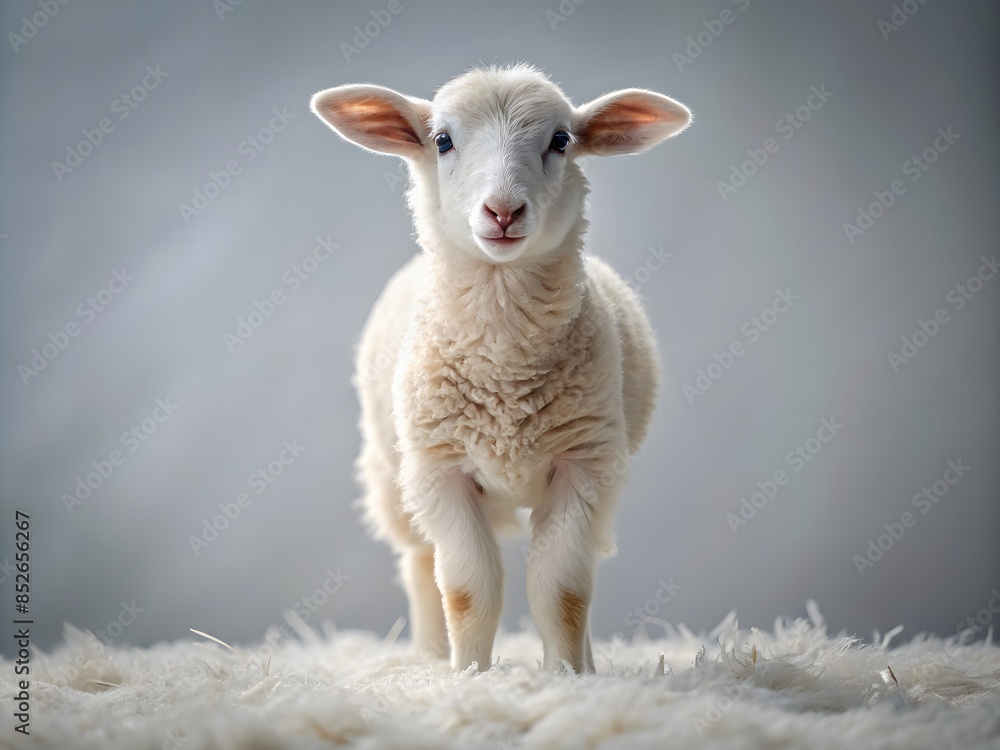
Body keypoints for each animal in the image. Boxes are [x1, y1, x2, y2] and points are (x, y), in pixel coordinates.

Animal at [311, 64, 690, 673]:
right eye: (443, 140)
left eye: (561, 140)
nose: (504, 211)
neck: (504, 364)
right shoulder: (441, 471)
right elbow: (468, 590)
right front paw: (469, 674)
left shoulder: (583, 465)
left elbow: (563, 591)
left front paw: (567, 676)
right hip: (392, 476)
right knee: (419, 563)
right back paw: (428, 657)